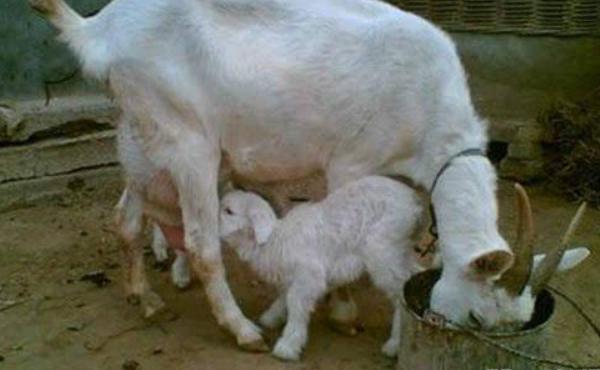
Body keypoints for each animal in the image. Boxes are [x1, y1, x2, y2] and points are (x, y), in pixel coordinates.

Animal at [32, 0, 592, 350]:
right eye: (477, 317)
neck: (428, 103)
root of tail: (99, 31)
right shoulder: (353, 162)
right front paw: (342, 312)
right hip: (188, 141)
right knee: (202, 242)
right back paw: (242, 330)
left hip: (144, 139)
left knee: (126, 218)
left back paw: (146, 300)